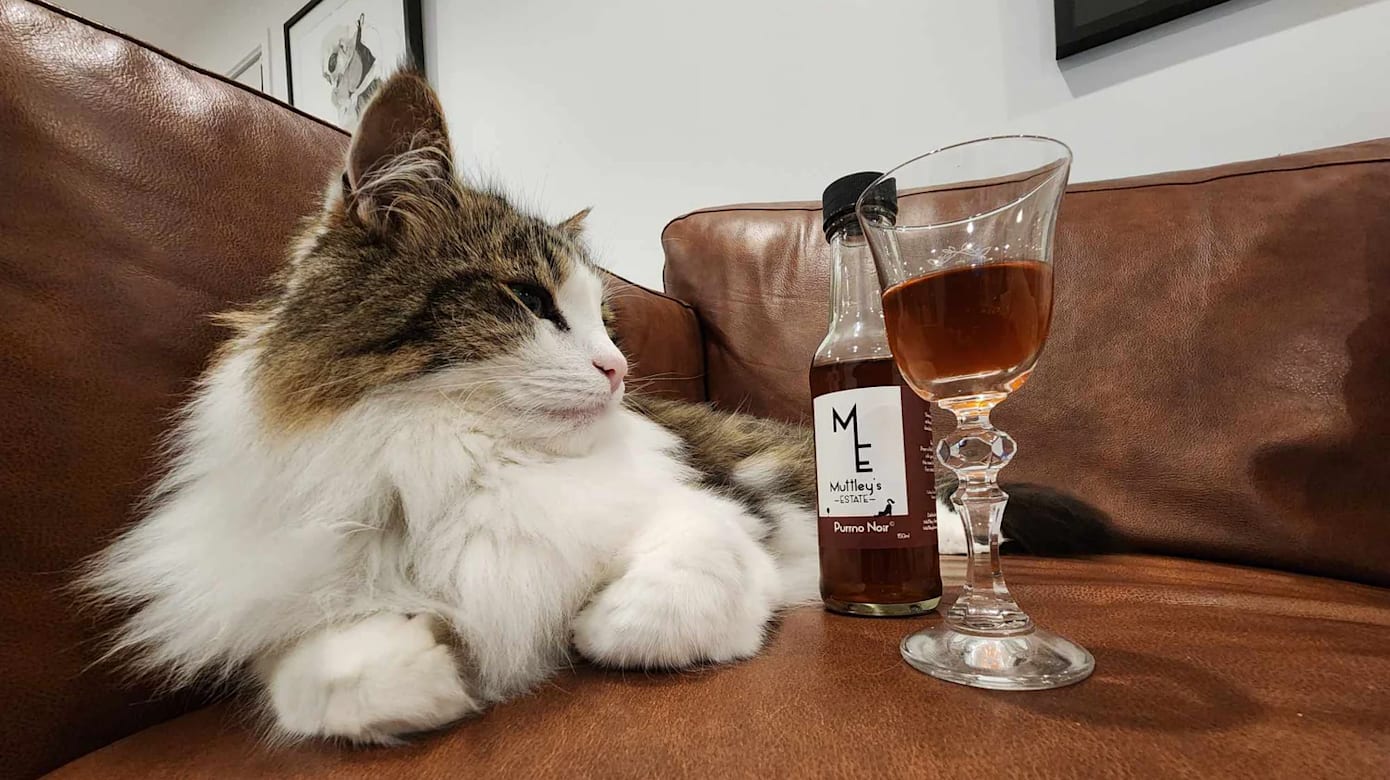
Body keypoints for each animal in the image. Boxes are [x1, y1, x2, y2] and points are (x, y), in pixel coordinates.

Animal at [84, 70, 1112, 745]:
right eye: (534, 303)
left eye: (602, 317)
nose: (618, 368)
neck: (445, 456)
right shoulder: (290, 605)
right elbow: (333, 679)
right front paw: (436, 671)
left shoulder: (711, 519)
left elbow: (645, 609)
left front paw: (584, 628)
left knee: (955, 510)